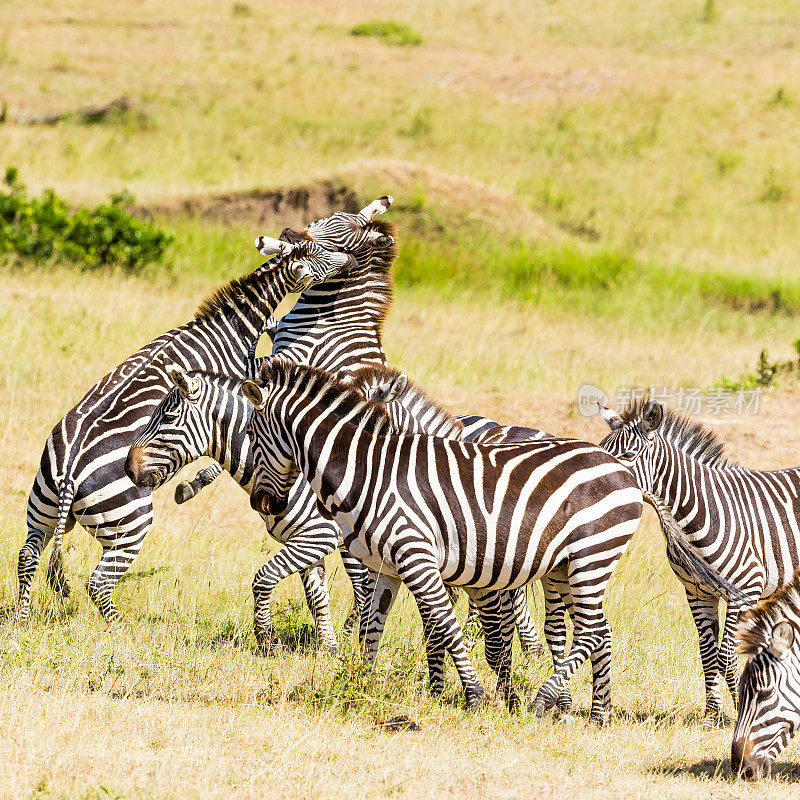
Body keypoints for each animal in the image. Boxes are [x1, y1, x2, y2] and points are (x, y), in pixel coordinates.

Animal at [19, 238, 354, 624]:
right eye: (321, 253)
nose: (349, 259)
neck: (230, 327)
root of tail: (68, 473)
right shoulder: (234, 381)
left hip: (41, 512)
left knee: (27, 557)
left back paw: (23, 621)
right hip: (130, 524)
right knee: (99, 581)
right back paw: (121, 628)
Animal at [242, 358, 736, 720]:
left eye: (250, 432)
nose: (264, 504)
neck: (374, 471)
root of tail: (623, 471)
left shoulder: (421, 558)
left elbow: (450, 628)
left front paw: (476, 696)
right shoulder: (389, 566)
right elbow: (372, 628)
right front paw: (360, 685)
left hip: (590, 557)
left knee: (594, 632)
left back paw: (555, 704)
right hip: (569, 565)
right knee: (594, 632)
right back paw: (597, 713)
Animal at [596, 400, 792, 724]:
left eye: (628, 456)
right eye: (600, 449)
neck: (696, 517)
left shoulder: (745, 592)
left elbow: (727, 654)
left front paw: (740, 710)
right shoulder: (698, 593)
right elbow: (709, 654)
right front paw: (712, 716)